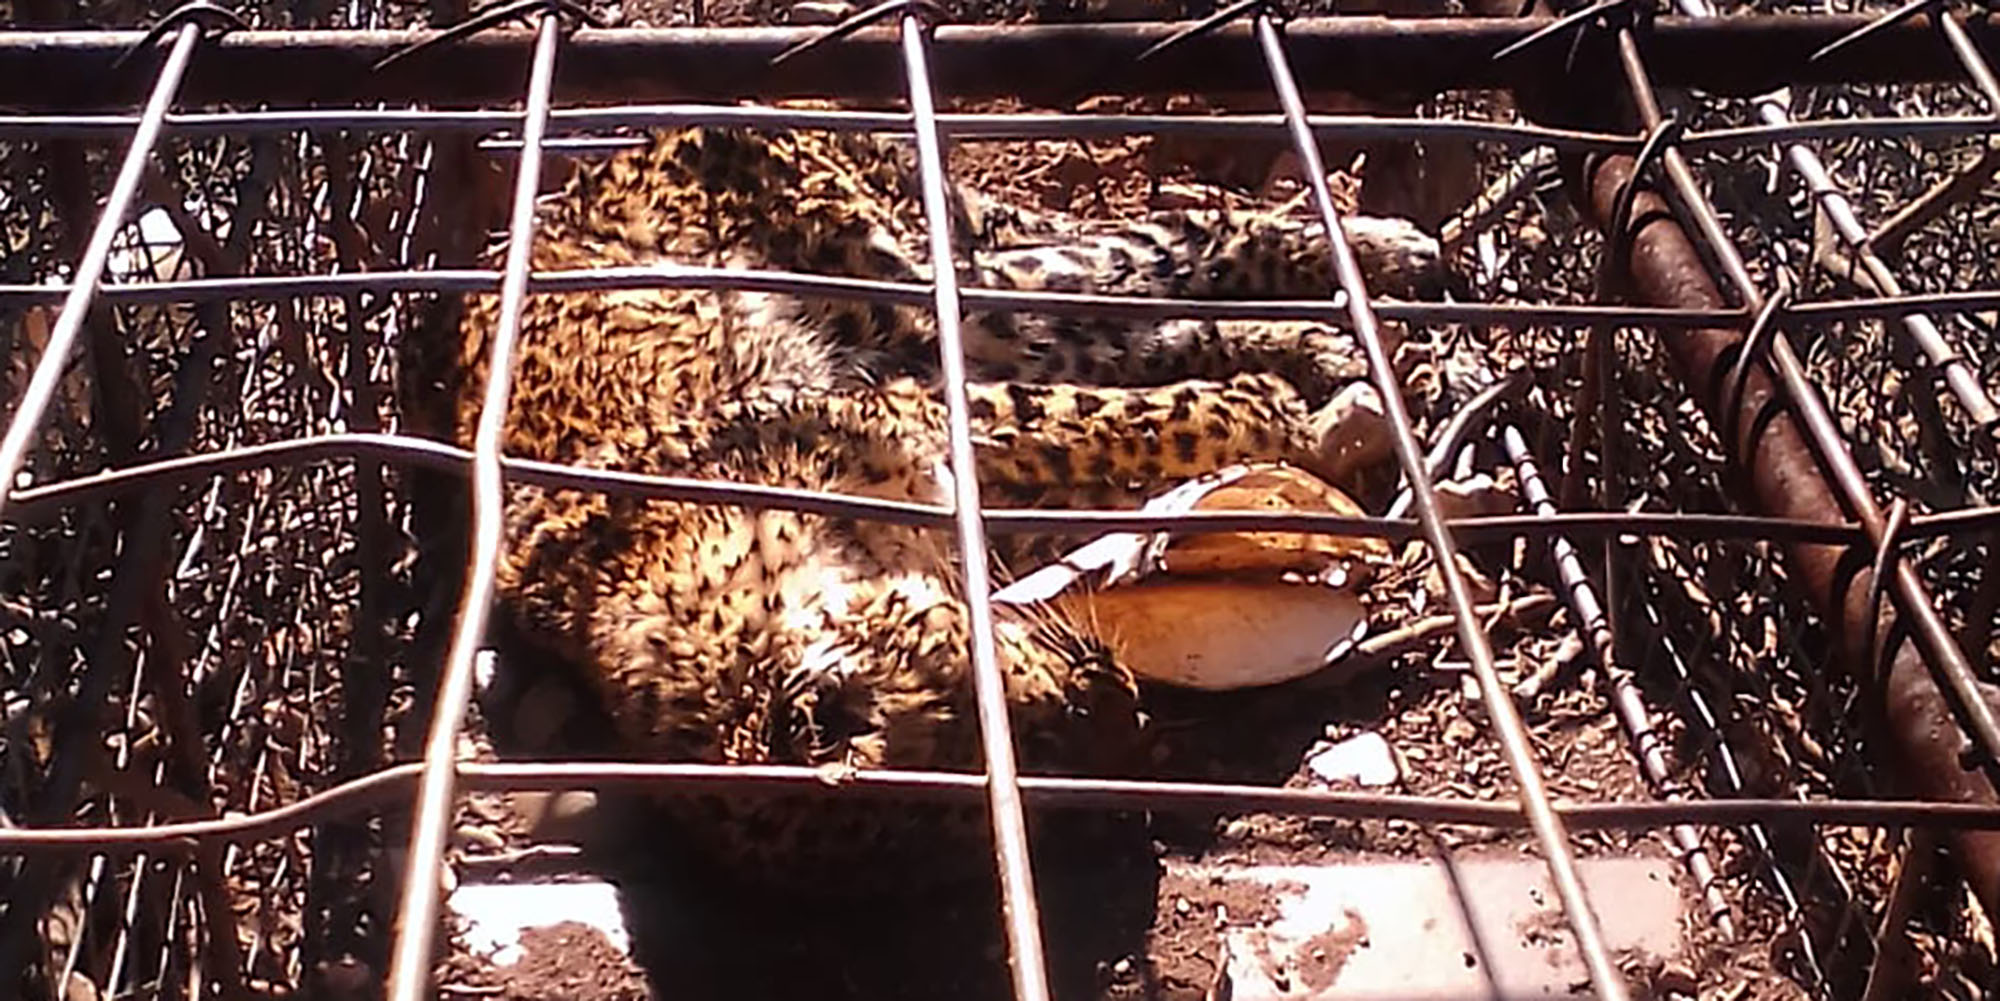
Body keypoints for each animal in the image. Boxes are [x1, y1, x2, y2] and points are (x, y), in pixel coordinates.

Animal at [452, 122, 1451, 894]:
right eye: (1041, 774)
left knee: (1172, 246)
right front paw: (1286, 405)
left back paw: (1377, 258)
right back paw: (1323, 337)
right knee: (1149, 313)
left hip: (932, 282)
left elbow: (1121, 422)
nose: (1129, 716)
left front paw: (1280, 413)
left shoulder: (925, 405)